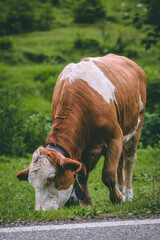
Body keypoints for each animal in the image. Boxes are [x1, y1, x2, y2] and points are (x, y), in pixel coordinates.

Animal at [16, 54, 146, 210]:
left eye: (52, 178)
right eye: (31, 183)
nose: (41, 210)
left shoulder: (114, 137)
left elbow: (108, 174)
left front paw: (118, 199)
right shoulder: (81, 148)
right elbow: (82, 175)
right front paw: (86, 202)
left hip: (137, 125)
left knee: (129, 159)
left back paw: (128, 193)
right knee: (120, 163)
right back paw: (121, 189)